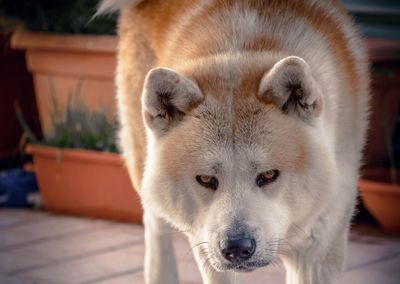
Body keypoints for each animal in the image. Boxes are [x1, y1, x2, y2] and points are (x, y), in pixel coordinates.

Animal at [97, 1, 368, 282]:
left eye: (269, 175)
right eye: (206, 179)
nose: (237, 247)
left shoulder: (318, 251)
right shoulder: (207, 247)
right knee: (155, 226)